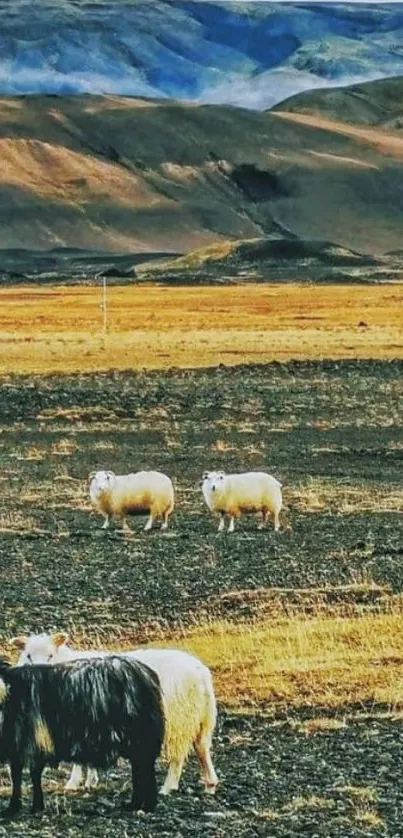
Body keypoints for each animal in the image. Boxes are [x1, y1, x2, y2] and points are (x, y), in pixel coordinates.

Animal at [0, 656, 166, 820]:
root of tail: (147, 673)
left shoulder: (33, 741)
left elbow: (31, 774)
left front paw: (29, 807)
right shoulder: (18, 745)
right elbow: (18, 774)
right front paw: (21, 807)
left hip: (141, 738)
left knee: (145, 769)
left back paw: (147, 805)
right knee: (139, 769)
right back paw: (135, 804)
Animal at [12, 632, 219, 796]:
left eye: (50, 655)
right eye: (28, 655)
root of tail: (201, 672)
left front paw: (74, 783)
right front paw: (91, 781)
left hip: (179, 719)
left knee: (178, 757)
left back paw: (168, 787)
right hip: (202, 718)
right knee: (202, 749)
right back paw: (210, 784)